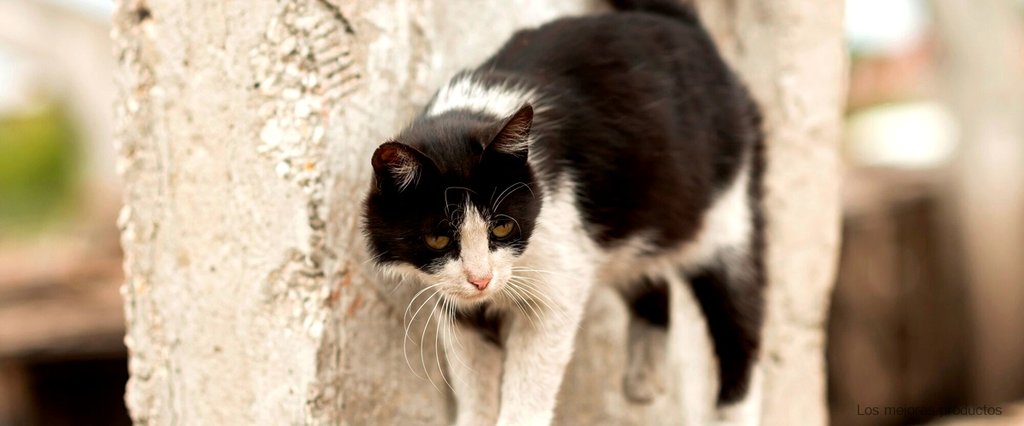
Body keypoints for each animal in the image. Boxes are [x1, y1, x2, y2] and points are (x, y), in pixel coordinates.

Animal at [364, 1, 765, 423]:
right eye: (439, 237)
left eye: (503, 227)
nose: (481, 279)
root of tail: (687, 27)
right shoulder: (455, 302)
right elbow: (472, 374)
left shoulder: (558, 273)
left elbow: (531, 379)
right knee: (650, 277)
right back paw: (644, 379)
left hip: (727, 212)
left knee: (741, 324)